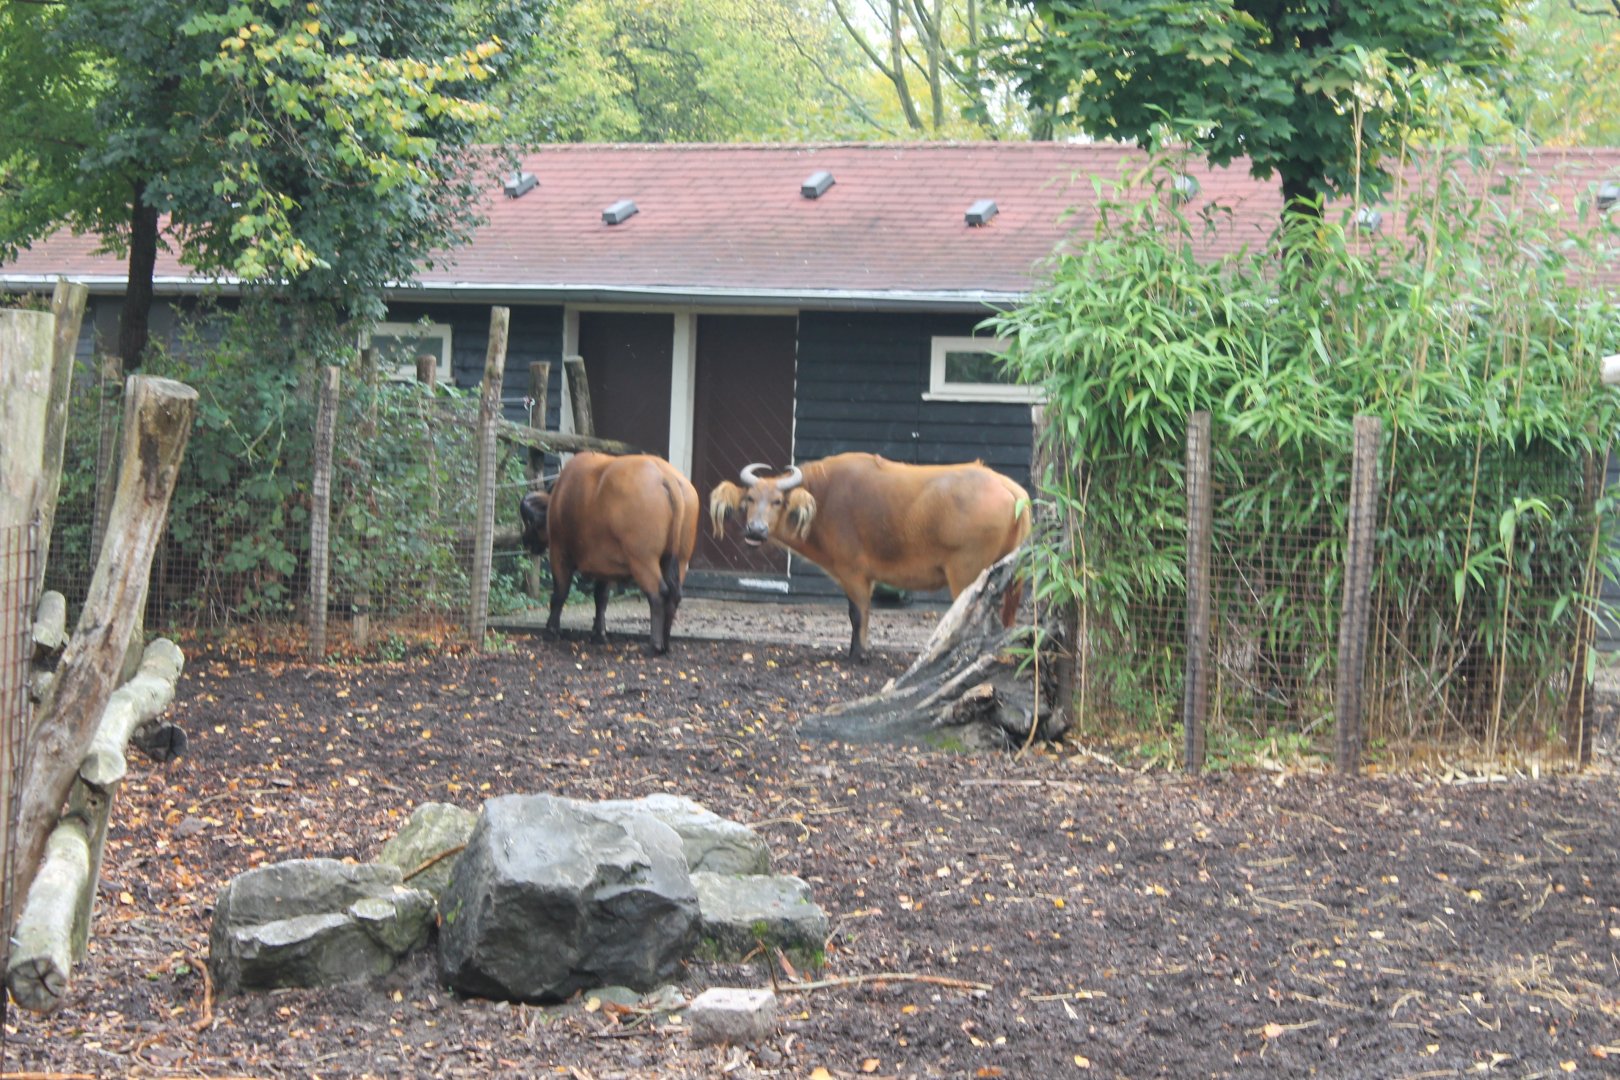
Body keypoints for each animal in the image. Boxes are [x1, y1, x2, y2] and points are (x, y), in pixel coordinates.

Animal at [520, 452, 700, 654]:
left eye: (530, 523)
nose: (525, 540)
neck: (559, 499)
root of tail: (667, 477)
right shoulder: (604, 566)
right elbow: (601, 598)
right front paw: (599, 634)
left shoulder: (559, 554)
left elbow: (560, 594)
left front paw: (551, 631)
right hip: (680, 559)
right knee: (675, 594)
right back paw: (666, 644)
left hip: (643, 560)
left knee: (658, 593)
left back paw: (654, 646)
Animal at [708, 452, 1031, 661]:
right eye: (750, 499)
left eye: (777, 501)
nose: (756, 530)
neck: (824, 499)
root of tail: (1010, 488)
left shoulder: (853, 572)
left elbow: (857, 613)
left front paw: (859, 654)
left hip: (967, 572)